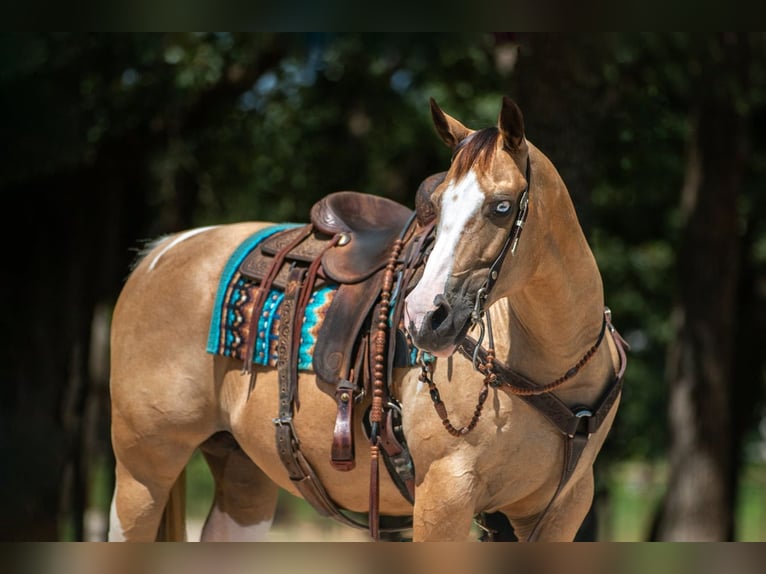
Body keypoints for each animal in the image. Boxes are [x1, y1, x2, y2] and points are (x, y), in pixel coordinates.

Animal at [107, 95, 628, 542]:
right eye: (437, 206)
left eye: (502, 206)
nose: (424, 318)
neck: (550, 368)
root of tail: (159, 254)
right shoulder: (444, 497)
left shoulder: (561, 510)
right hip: (142, 471)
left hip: (242, 476)